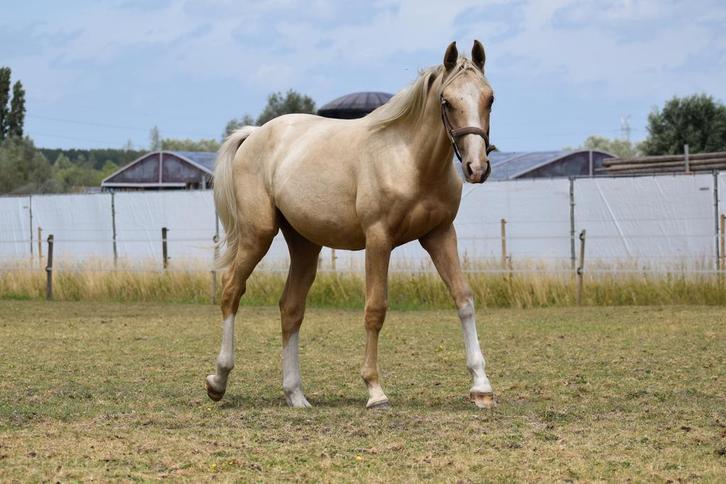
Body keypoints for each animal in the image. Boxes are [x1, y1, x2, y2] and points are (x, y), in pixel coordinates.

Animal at [206, 40, 496, 409]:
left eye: (489, 98)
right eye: (447, 101)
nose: (477, 167)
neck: (408, 160)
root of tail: (255, 133)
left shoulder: (440, 235)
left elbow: (464, 299)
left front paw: (481, 387)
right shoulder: (378, 239)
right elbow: (375, 309)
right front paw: (375, 390)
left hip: (305, 245)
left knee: (291, 308)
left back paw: (295, 394)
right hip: (257, 235)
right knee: (232, 290)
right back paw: (218, 380)